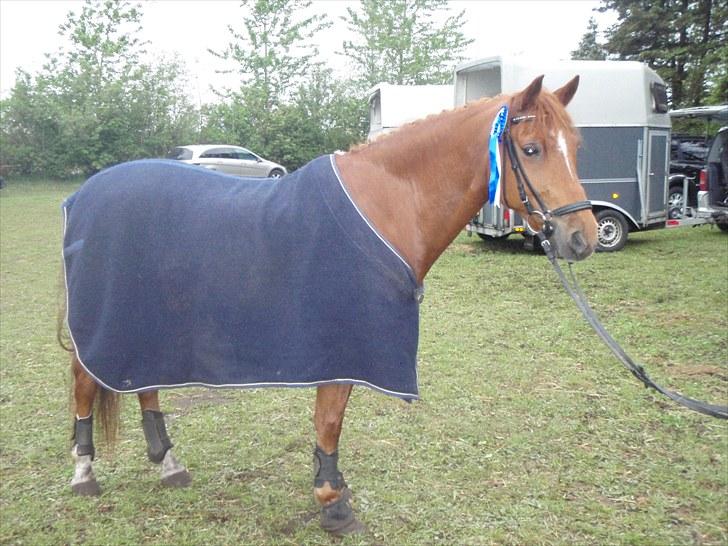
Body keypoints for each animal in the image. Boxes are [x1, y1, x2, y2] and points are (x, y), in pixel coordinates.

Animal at [62, 77, 596, 536]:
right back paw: (84, 472)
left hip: (148, 324)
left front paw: (332, 493)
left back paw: (169, 464)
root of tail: (81, 195)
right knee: (86, 383)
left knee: (141, 383)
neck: (386, 206)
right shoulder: (342, 350)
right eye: (532, 149)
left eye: (576, 147)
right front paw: (333, 505)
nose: (582, 237)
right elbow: (330, 423)